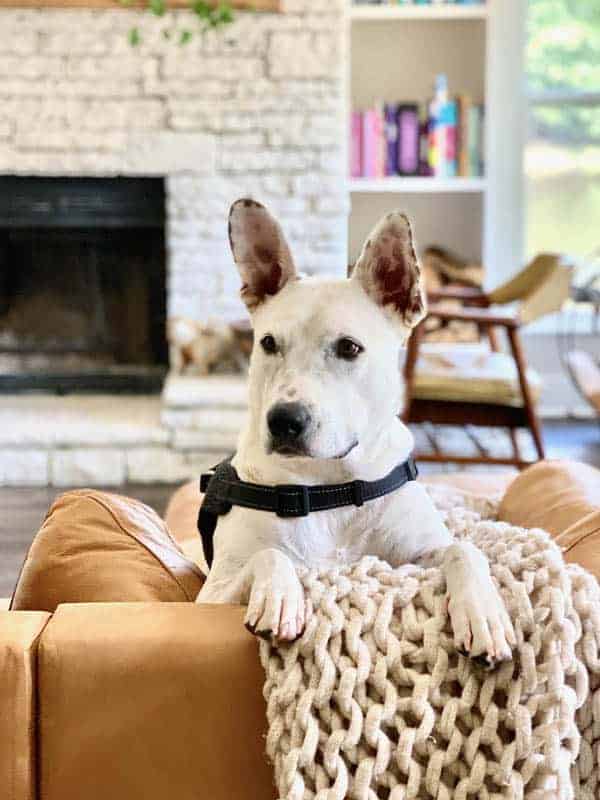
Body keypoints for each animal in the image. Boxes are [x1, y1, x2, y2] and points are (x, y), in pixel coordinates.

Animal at [198, 197, 516, 664]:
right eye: (269, 343)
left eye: (349, 347)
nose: (284, 420)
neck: (333, 486)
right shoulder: (212, 594)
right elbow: (270, 554)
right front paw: (279, 596)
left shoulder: (420, 552)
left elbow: (463, 548)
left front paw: (483, 612)